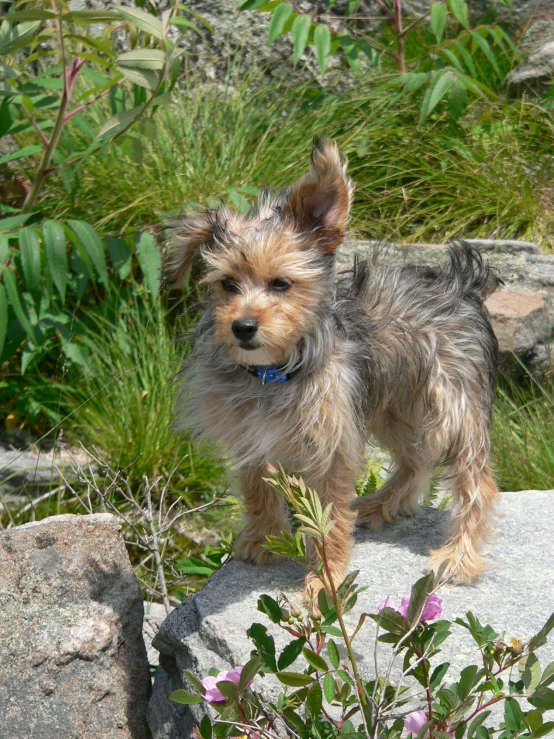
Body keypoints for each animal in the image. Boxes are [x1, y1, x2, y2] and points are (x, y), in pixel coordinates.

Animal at [161, 139, 500, 600]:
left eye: (281, 284)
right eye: (227, 284)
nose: (242, 327)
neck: (274, 373)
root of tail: (461, 284)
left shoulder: (334, 445)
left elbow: (330, 518)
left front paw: (326, 580)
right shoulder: (253, 434)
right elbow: (256, 486)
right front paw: (265, 538)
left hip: (452, 406)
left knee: (476, 480)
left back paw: (459, 556)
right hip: (392, 405)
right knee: (416, 461)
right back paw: (381, 504)